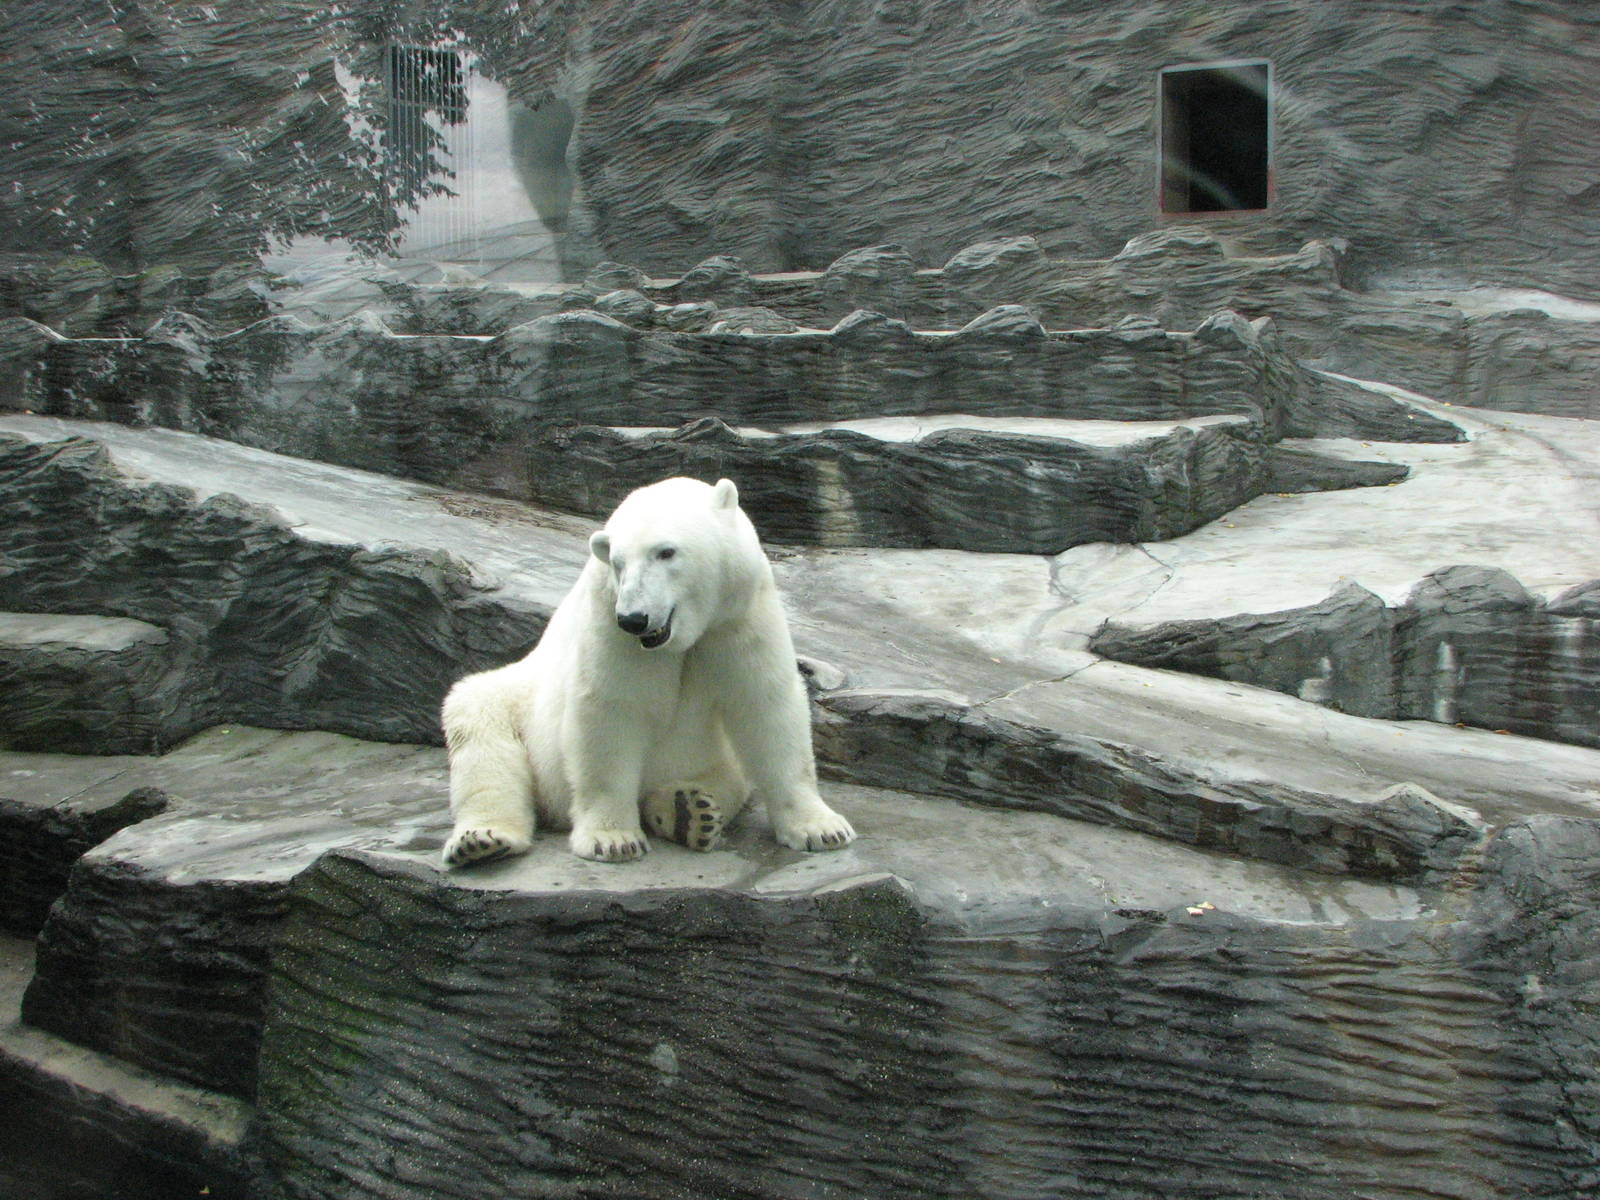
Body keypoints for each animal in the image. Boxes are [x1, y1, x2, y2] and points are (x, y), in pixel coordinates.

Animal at [441, 476, 857, 865]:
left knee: (724, 778)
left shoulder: (739, 614)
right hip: (518, 706)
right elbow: (613, 708)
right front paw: (612, 839)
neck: (688, 630)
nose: (634, 618)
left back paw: (686, 811)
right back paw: (482, 839)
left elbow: (765, 703)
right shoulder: (609, 621)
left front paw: (822, 829)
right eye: (618, 563)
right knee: (480, 734)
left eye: (666, 552)